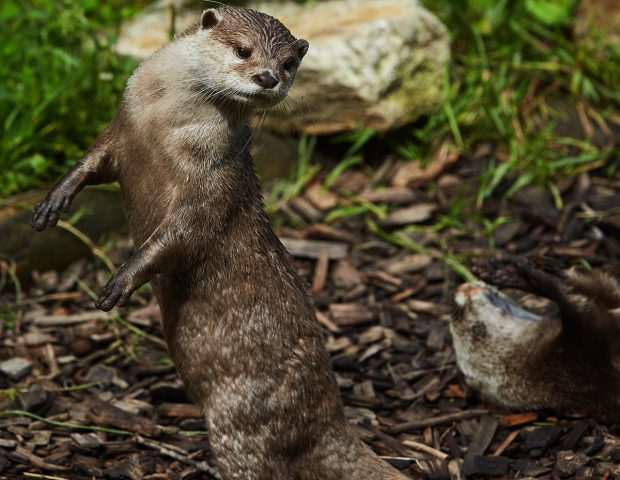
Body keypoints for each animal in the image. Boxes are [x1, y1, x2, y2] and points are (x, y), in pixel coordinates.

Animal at [450, 260, 620, 422]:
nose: (461, 287)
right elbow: (573, 306)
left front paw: (503, 274)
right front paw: (541, 280)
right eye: (456, 313)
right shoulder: (581, 359)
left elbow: (604, 290)